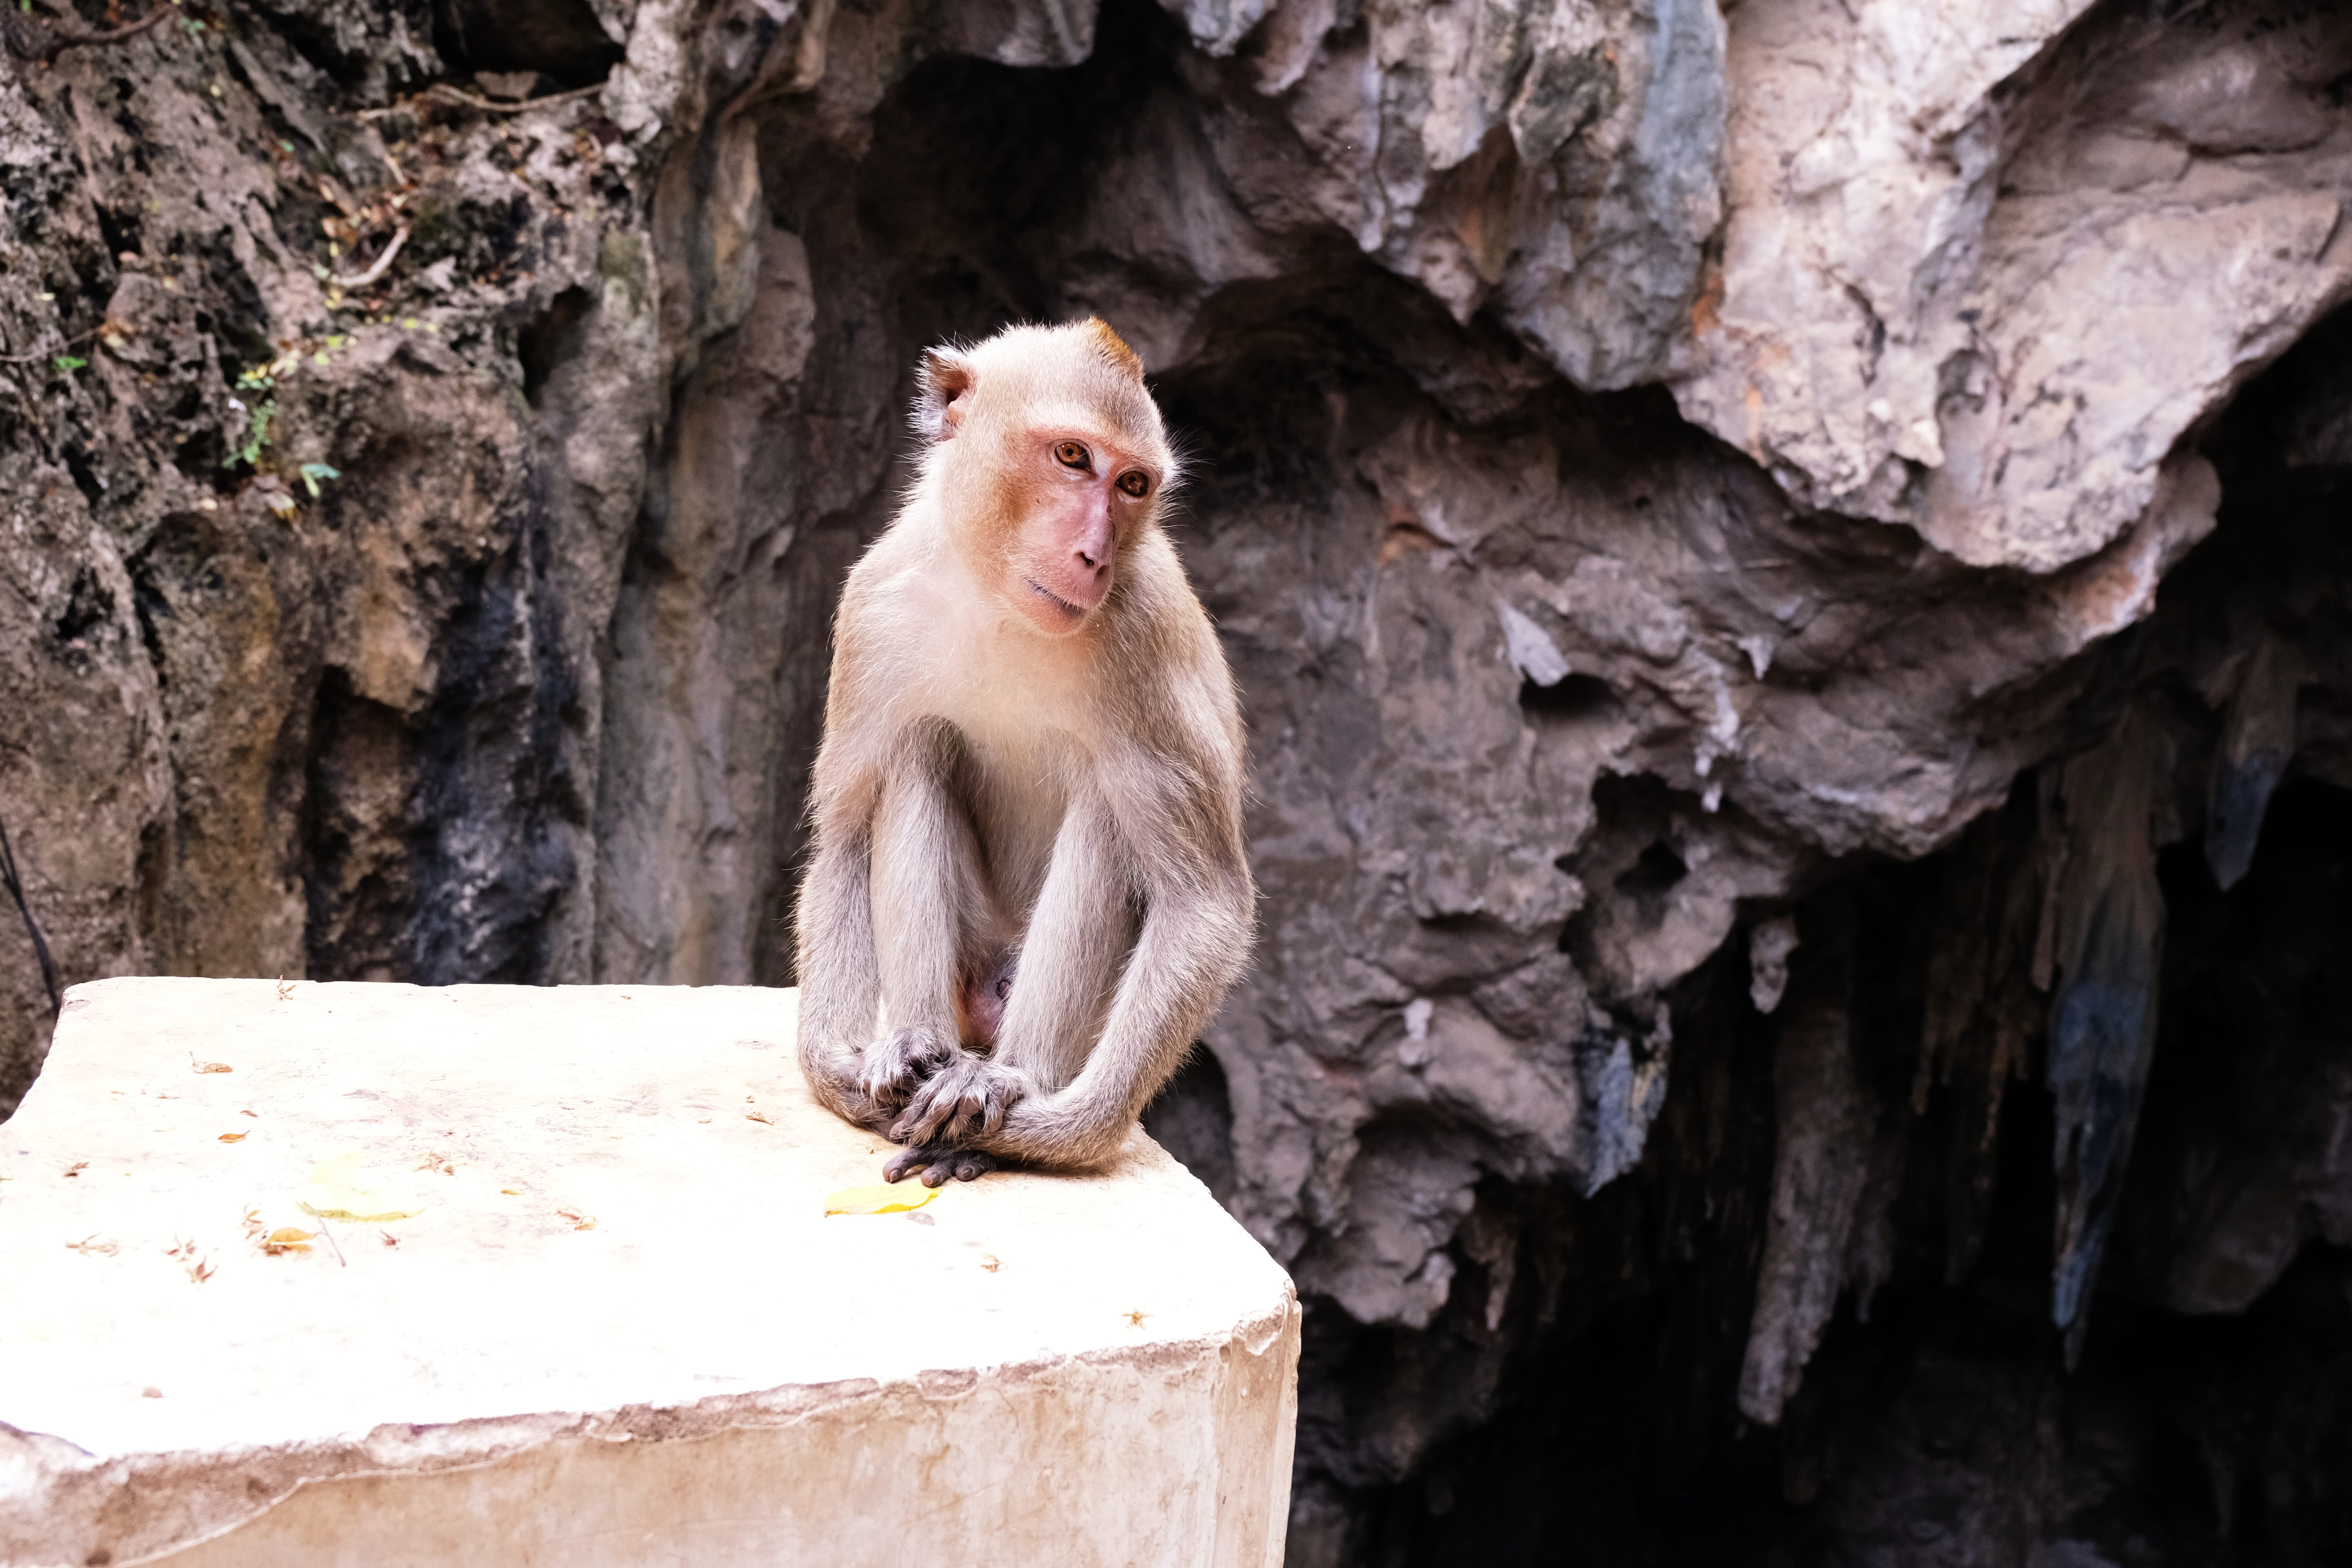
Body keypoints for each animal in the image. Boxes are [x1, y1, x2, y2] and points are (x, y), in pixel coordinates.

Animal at [793, 318, 1254, 1188]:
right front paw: (839, 1070)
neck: (998, 602)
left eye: (1134, 484)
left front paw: (1059, 1131)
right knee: (917, 746)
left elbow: (1204, 902)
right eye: (1072, 457)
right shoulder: (873, 608)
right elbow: (844, 836)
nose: (1094, 556)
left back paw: (1004, 1080)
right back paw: (916, 1045)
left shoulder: (1145, 638)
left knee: (1110, 801)